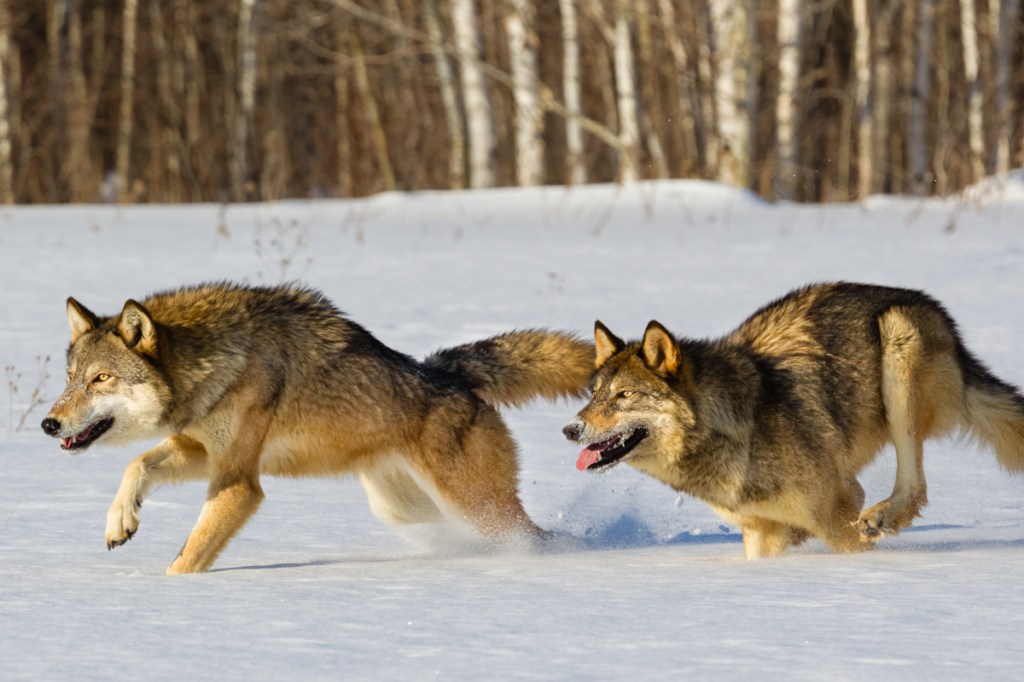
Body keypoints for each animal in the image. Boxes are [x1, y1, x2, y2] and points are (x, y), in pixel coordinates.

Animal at [41, 282, 592, 574]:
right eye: (70, 379)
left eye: (101, 379)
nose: (49, 423)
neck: (217, 362)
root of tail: (448, 372)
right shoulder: (203, 452)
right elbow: (136, 465)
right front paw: (121, 522)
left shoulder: (239, 482)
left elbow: (189, 555)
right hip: (404, 509)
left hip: (473, 505)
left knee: (531, 535)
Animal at [563, 282, 1024, 559]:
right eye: (594, 394)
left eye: (623, 396)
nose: (570, 430)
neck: (735, 431)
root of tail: (936, 309)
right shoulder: (761, 532)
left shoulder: (837, 508)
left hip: (897, 344)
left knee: (915, 485)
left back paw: (882, 517)